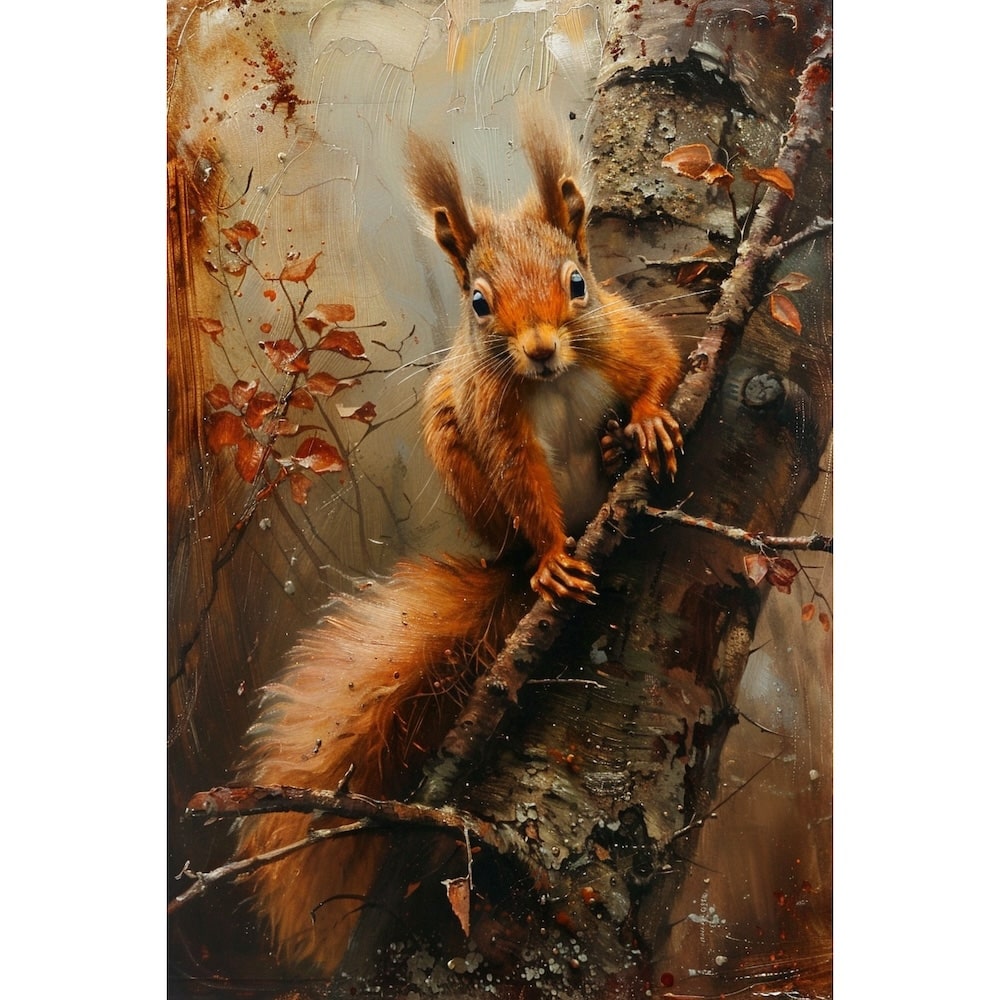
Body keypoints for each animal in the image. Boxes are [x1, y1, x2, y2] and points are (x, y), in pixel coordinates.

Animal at [231, 119, 685, 976]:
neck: (553, 380)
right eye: (479, 303)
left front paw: (646, 420)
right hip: (457, 449)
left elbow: (666, 362)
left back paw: (618, 451)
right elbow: (523, 486)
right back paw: (541, 558)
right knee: (513, 527)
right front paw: (554, 559)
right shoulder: (493, 420)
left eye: (579, 284)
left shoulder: (622, 336)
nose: (539, 349)